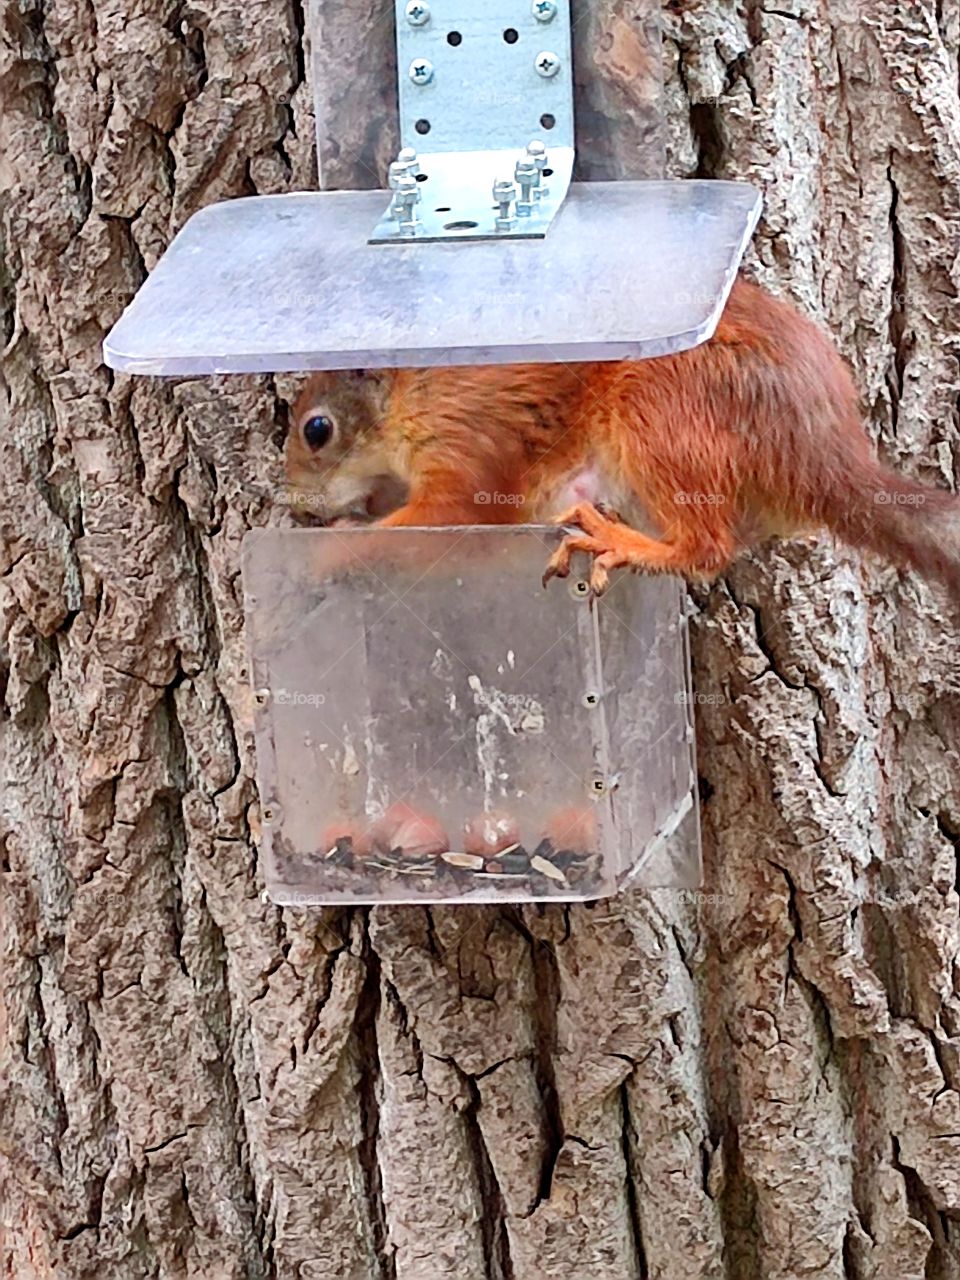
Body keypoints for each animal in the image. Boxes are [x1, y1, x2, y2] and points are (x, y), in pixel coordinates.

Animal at [285, 277, 960, 599]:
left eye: (317, 429)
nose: (298, 511)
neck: (409, 390)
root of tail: (822, 453)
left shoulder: (465, 440)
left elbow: (444, 516)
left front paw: (329, 551)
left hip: (660, 412)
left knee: (706, 547)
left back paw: (618, 541)